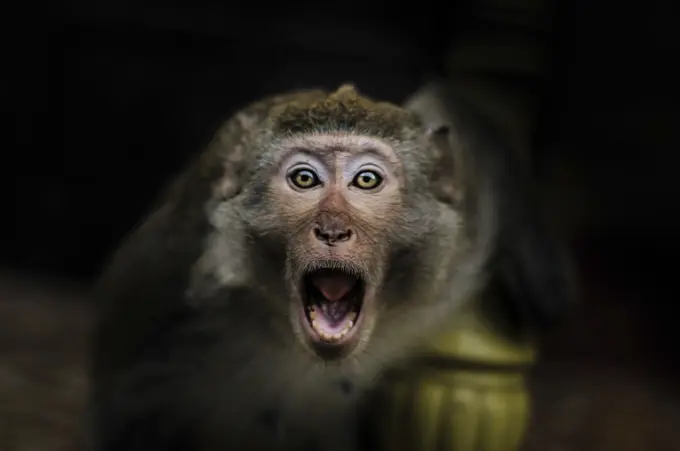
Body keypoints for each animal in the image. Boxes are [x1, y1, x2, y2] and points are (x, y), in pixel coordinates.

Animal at [89, 84, 568, 451]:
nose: (333, 230)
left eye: (367, 180)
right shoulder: (165, 293)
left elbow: (453, 109)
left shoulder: (460, 241)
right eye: (304, 179)